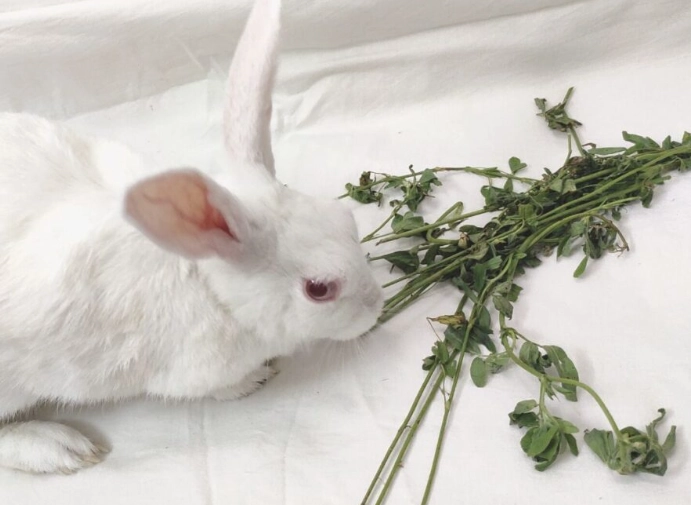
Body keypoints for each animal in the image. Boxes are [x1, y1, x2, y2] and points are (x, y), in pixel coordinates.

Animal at [0, 0, 384, 474]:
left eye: (347, 219)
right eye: (318, 289)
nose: (377, 307)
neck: (213, 287)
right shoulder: (192, 372)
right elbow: (220, 388)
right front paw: (257, 377)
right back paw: (61, 447)